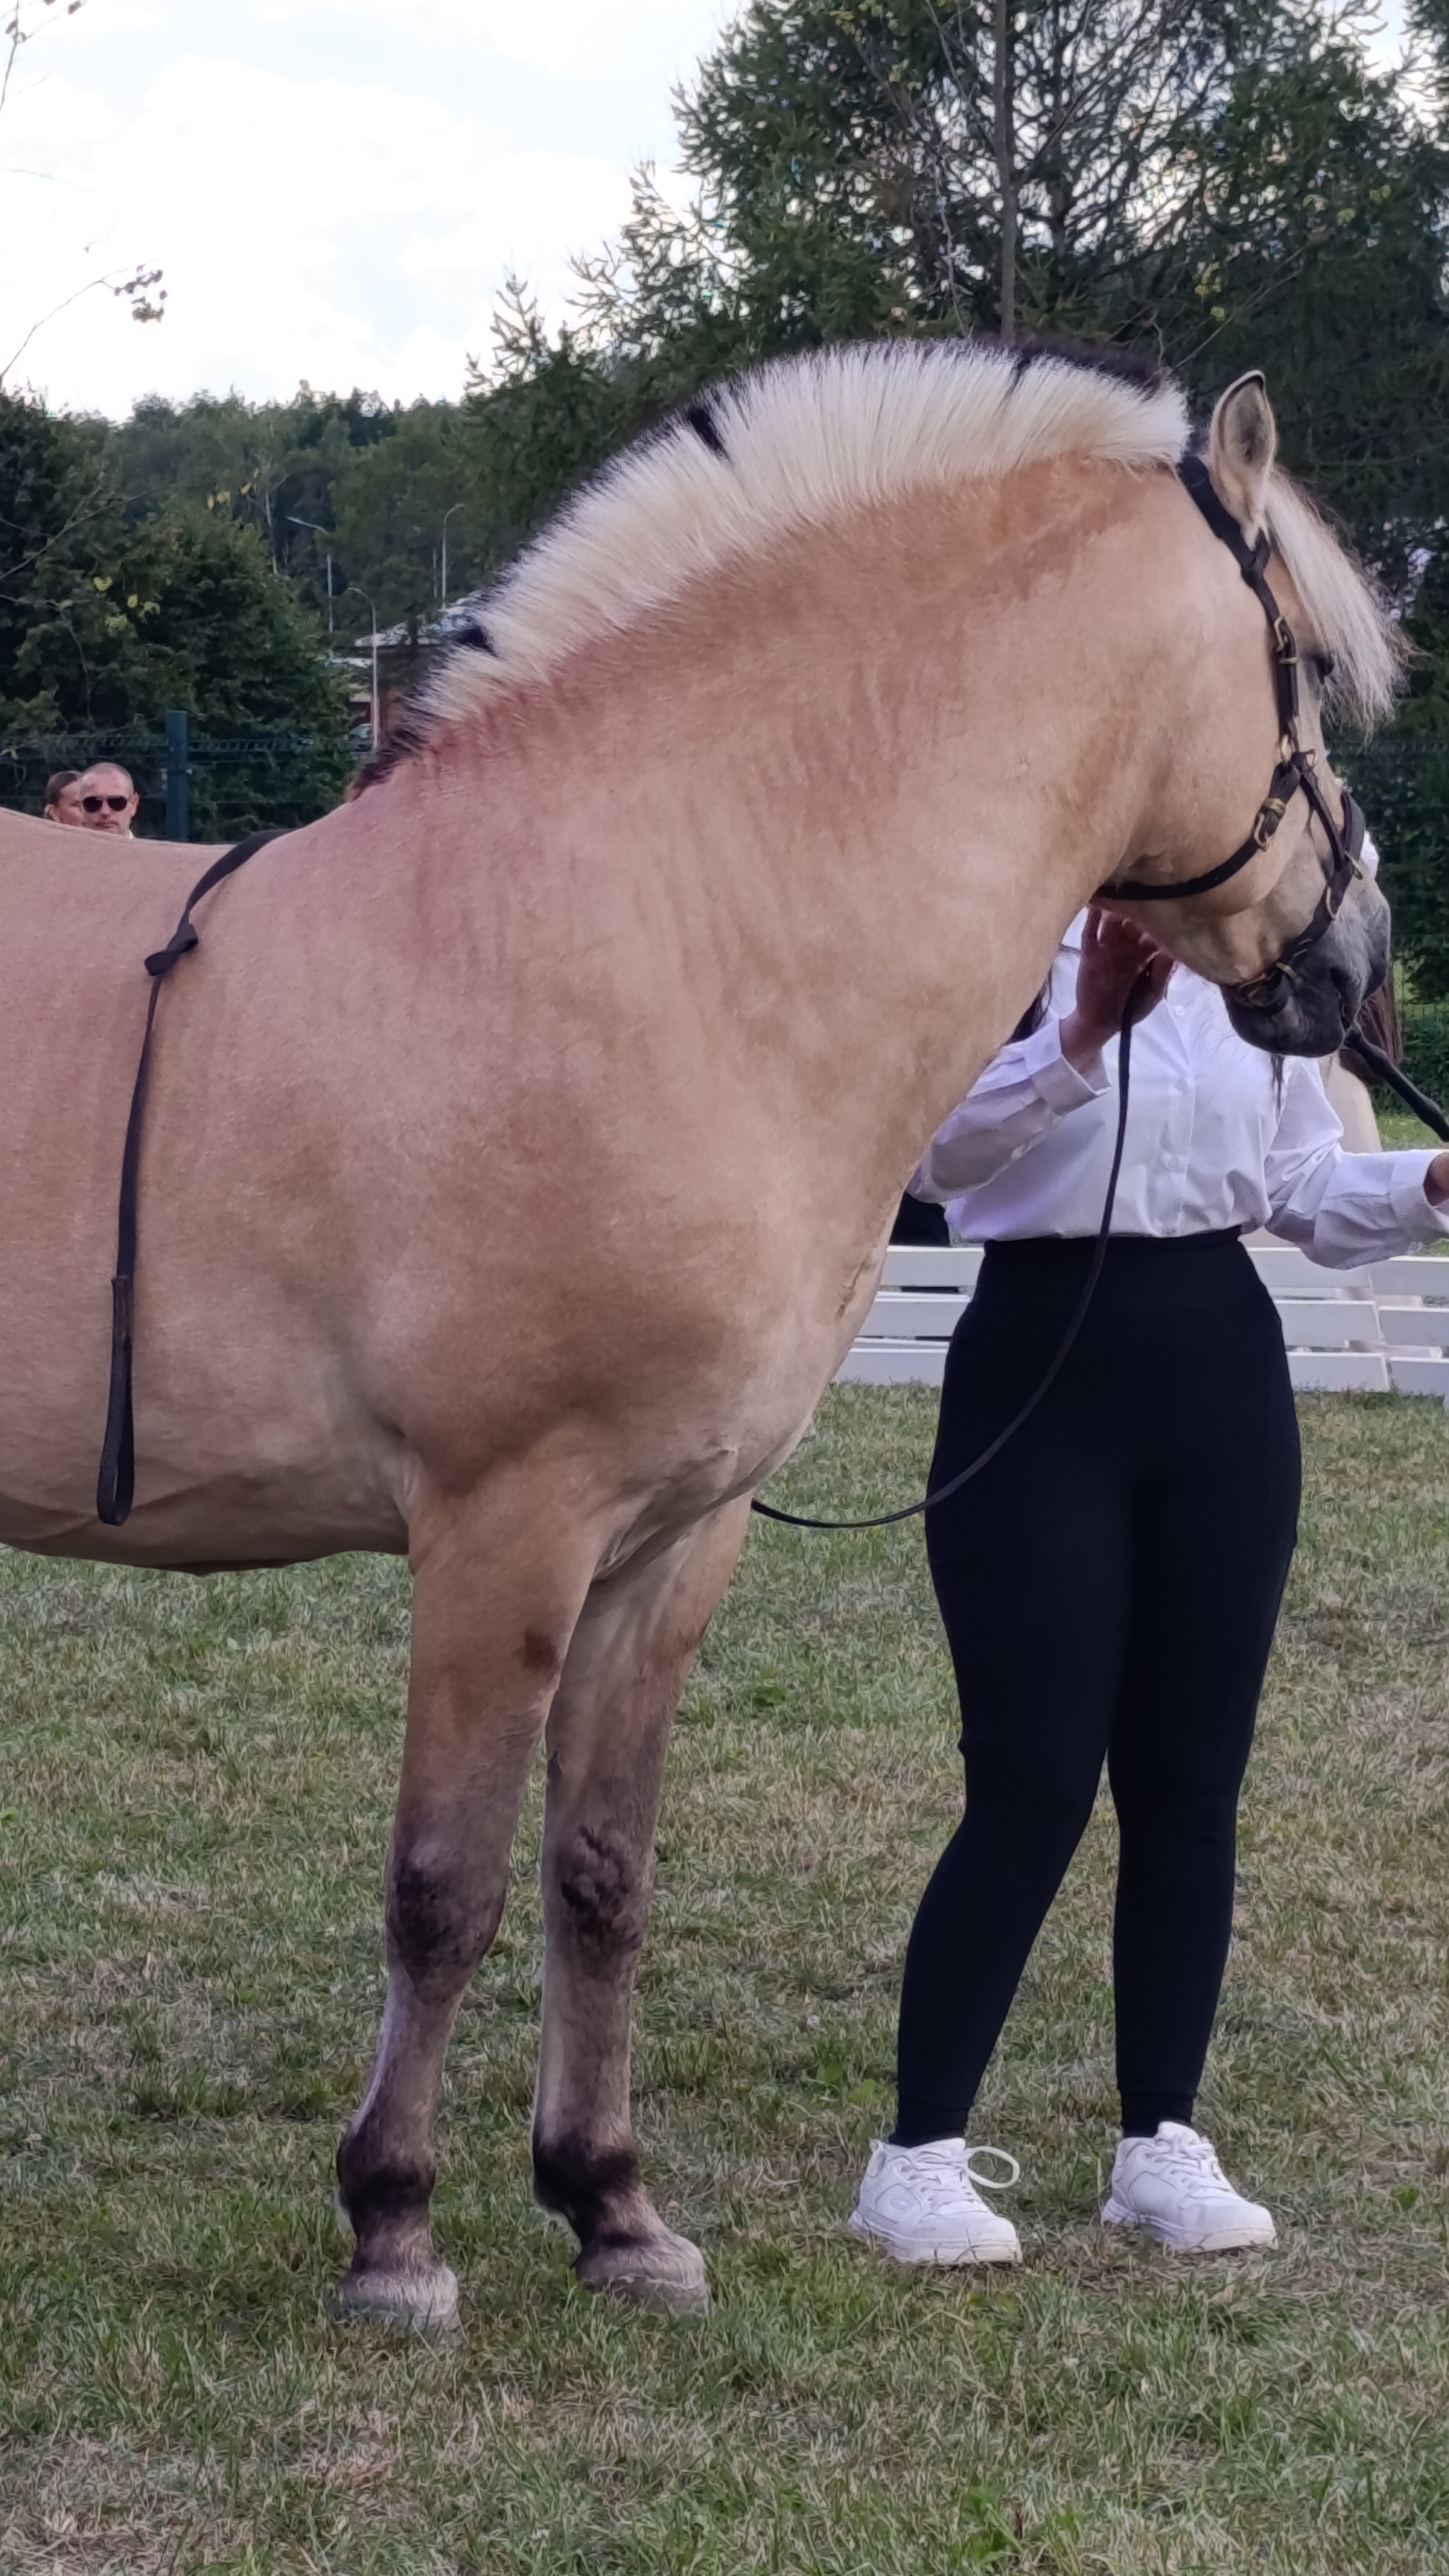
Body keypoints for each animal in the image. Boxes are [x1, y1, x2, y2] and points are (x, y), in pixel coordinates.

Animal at [0, 348, 1395, 2325]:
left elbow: (599, 1875)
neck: (667, 932)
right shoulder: (501, 1530)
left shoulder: (665, 1545)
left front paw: (609, 2207)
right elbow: (443, 1882)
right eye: (1314, 670)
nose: (1357, 959)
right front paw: (395, 2230)